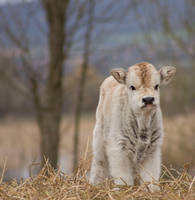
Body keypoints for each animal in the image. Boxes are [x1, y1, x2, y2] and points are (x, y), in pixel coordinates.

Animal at [89, 61, 176, 190]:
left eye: (156, 86)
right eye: (132, 87)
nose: (148, 99)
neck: (142, 123)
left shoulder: (153, 150)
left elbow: (150, 177)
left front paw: (152, 190)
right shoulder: (119, 148)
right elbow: (124, 177)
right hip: (99, 138)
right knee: (99, 164)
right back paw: (94, 184)